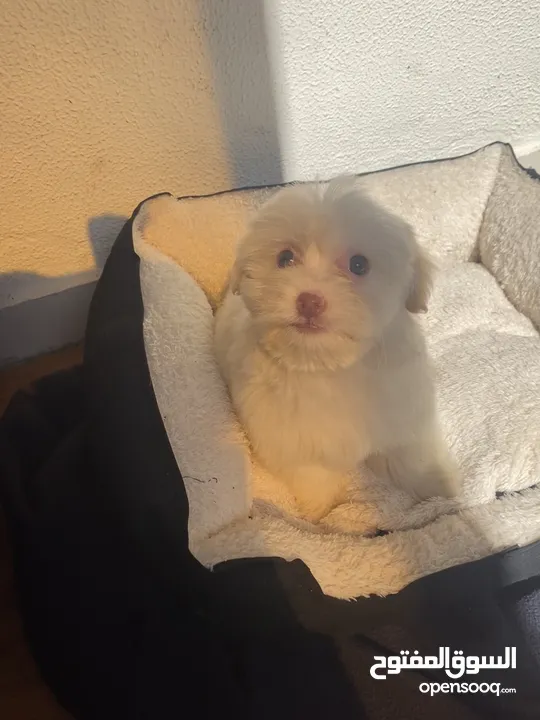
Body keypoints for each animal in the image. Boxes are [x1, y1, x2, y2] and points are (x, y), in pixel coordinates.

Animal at [213, 177, 458, 520]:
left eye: (359, 264)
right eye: (285, 258)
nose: (309, 301)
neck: (329, 366)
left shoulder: (402, 414)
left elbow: (408, 457)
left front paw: (439, 488)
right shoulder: (290, 437)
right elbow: (312, 474)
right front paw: (322, 513)